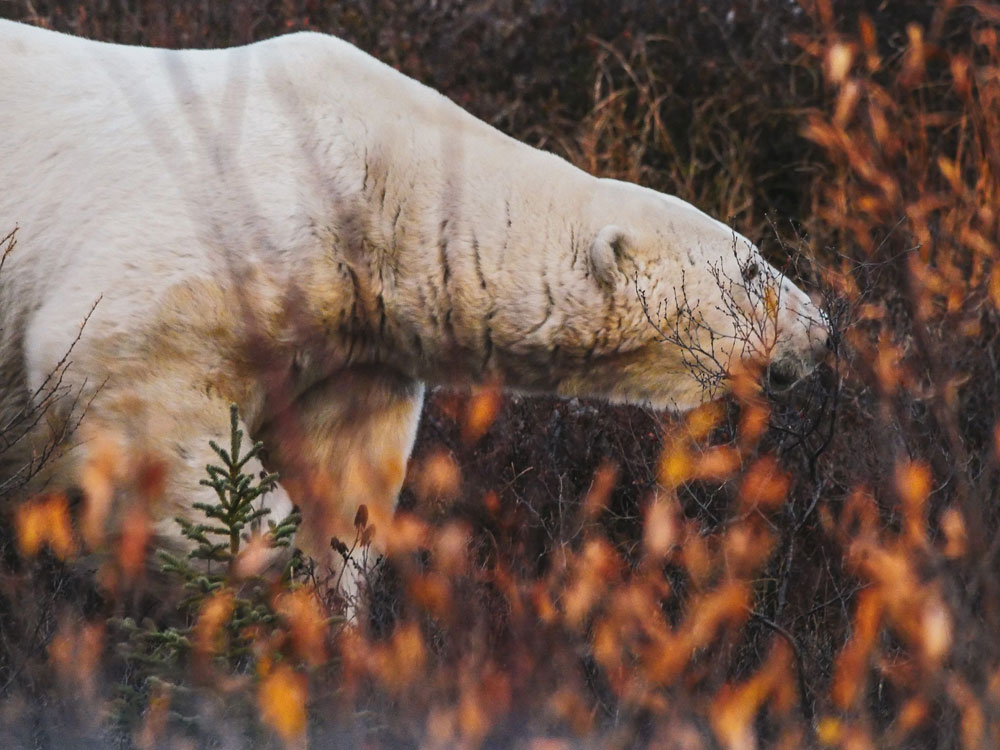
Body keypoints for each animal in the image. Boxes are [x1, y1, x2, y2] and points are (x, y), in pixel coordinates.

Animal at [0, 20, 828, 595]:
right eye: (753, 267)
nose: (822, 326)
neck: (375, 181)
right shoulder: (196, 266)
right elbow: (137, 396)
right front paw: (245, 556)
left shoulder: (353, 333)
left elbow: (344, 473)